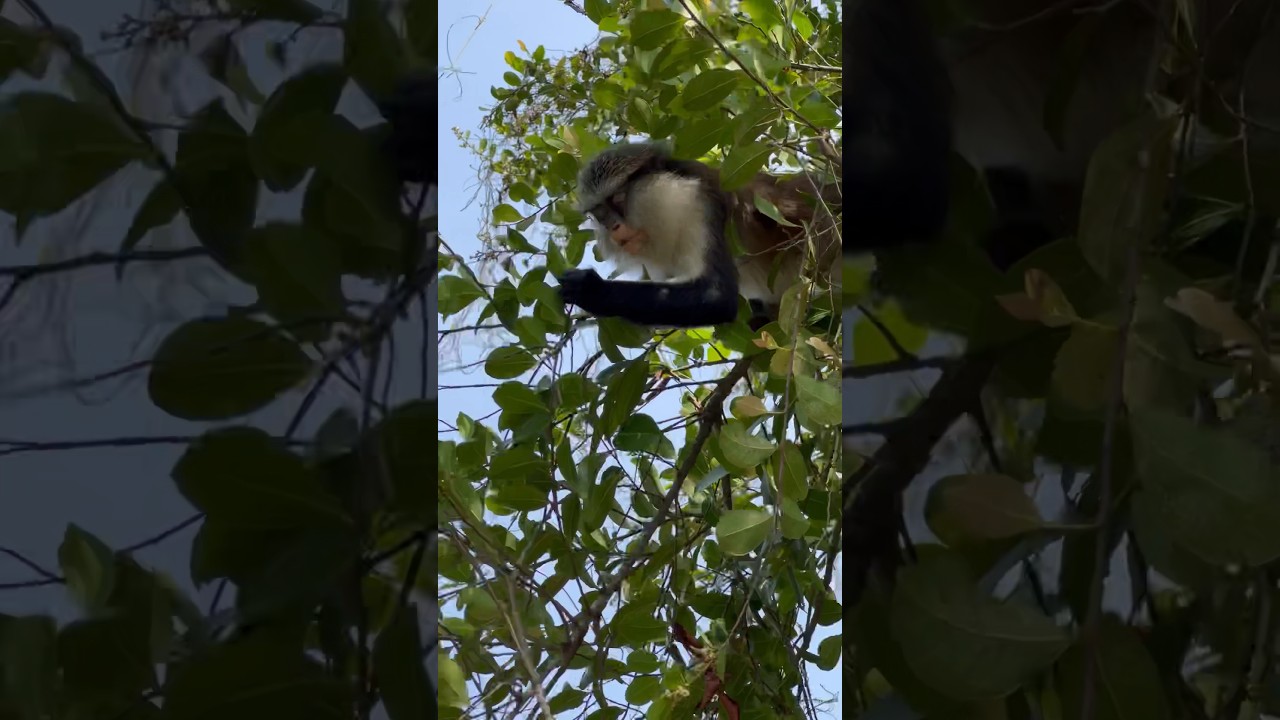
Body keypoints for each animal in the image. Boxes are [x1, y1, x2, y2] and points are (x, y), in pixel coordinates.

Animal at [557, 0, 953, 329]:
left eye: (617, 200)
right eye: (599, 213)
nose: (614, 228)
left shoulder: (694, 202)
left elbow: (715, 296)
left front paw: (589, 289)